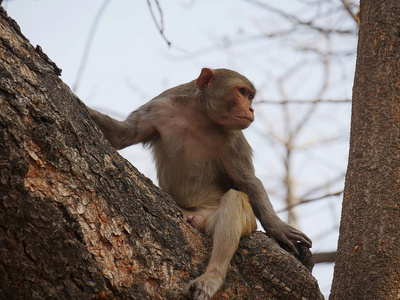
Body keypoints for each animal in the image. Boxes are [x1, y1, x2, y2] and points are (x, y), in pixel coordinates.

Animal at [86, 68, 312, 300]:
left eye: (250, 96)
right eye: (242, 92)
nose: (251, 108)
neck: (200, 117)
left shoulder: (233, 139)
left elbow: (248, 181)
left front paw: (277, 227)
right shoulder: (159, 108)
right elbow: (122, 135)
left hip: (212, 218)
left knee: (234, 200)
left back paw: (211, 277)